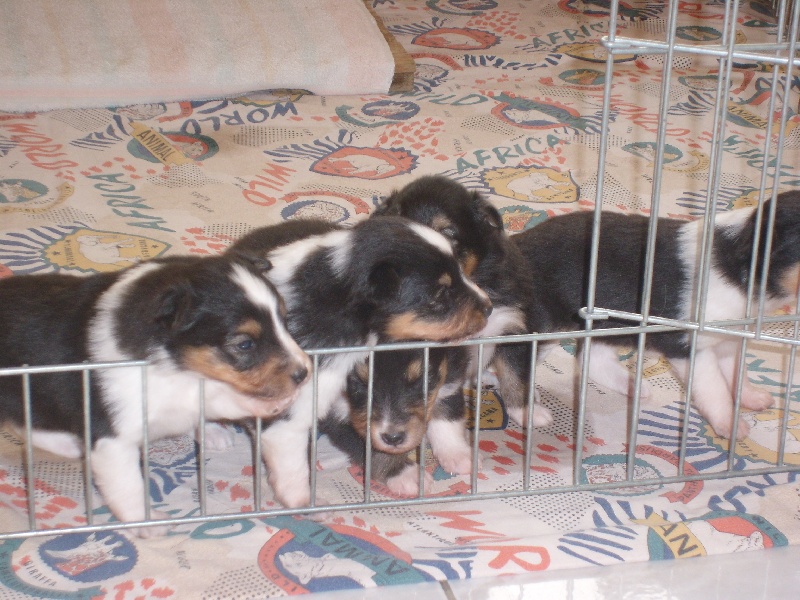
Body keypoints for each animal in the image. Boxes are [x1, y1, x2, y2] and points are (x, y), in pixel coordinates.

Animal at [0, 253, 310, 536]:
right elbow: (128, 486)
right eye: (245, 344)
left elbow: (210, 395)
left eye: (285, 322)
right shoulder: (115, 435)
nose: (304, 373)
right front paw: (145, 524)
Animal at [320, 346, 468, 496]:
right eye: (360, 383)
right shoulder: (335, 414)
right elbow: (376, 451)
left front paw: (457, 454)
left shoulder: (451, 369)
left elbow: (446, 415)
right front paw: (408, 475)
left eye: (422, 380)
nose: (393, 438)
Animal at [512, 192, 800, 440]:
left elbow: (738, 373)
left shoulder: (728, 339)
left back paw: (632, 386)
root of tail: (516, 243)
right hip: (544, 326)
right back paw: (528, 411)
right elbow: (714, 388)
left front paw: (753, 398)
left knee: (591, 360)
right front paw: (730, 425)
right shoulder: (689, 347)